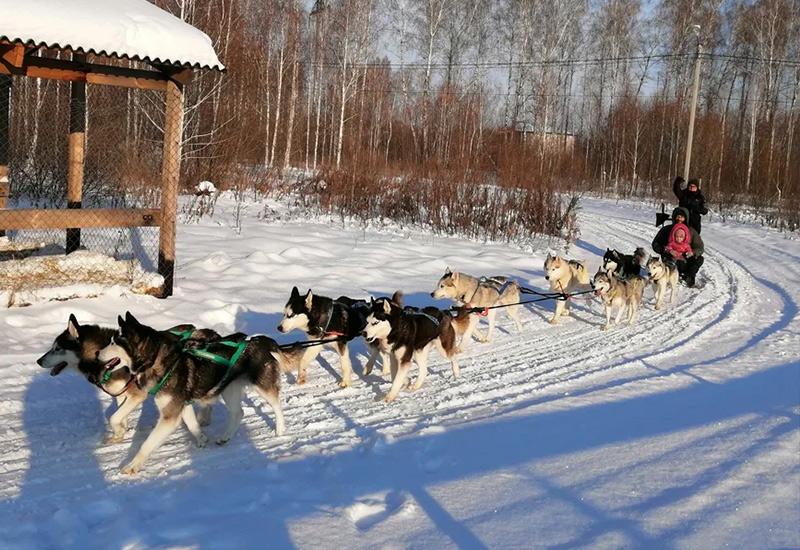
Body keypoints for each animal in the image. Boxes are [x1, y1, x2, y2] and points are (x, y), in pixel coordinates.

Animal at [97, 312, 304, 476]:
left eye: (114, 342)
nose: (98, 352)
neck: (162, 362)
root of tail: (263, 340)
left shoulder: (169, 415)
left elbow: (147, 444)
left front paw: (133, 465)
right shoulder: (183, 405)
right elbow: (192, 424)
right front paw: (201, 438)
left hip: (263, 386)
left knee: (276, 405)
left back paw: (280, 429)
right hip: (228, 389)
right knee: (238, 413)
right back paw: (225, 436)